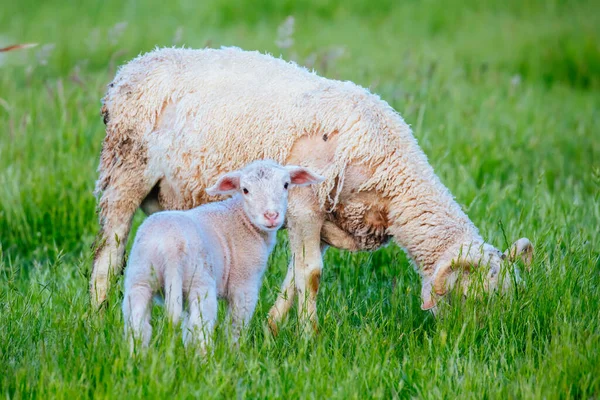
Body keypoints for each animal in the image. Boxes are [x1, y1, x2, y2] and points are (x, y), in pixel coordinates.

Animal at [122, 159, 326, 350]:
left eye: (285, 185)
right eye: (245, 190)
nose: (271, 216)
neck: (242, 218)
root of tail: (170, 247)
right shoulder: (244, 283)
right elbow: (236, 323)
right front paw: (234, 351)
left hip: (140, 278)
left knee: (138, 325)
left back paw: (137, 355)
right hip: (200, 282)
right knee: (201, 326)